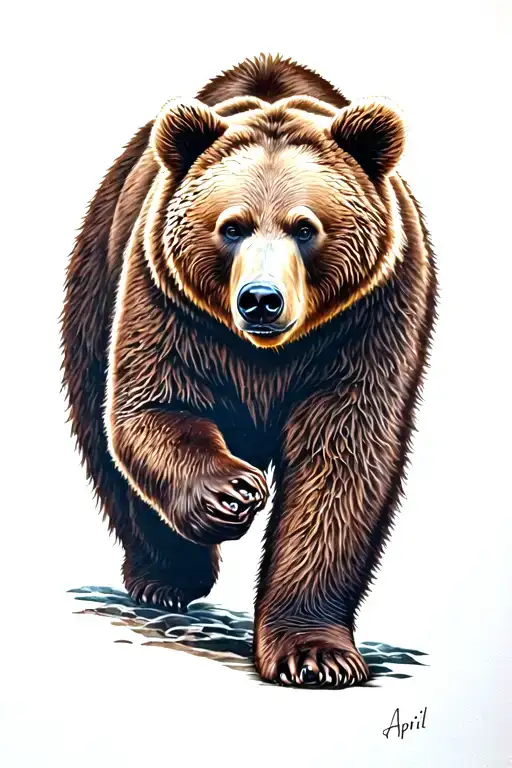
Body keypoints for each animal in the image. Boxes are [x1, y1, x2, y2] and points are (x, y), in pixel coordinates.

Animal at [61, 53, 437, 688]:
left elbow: (341, 463)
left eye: (305, 227)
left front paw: (316, 654)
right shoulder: (169, 303)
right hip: (98, 273)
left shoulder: (369, 320)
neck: (269, 353)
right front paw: (232, 492)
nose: (261, 300)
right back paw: (167, 577)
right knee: (99, 426)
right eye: (232, 225)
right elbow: (154, 405)